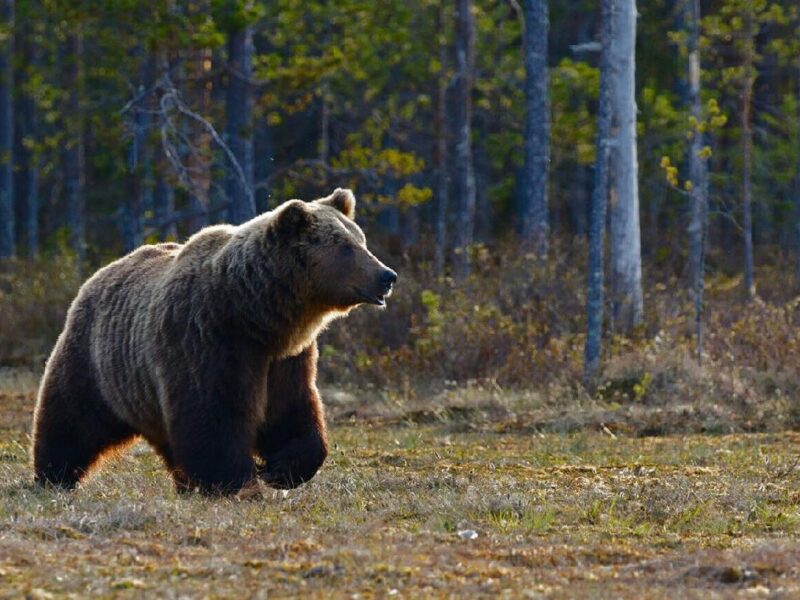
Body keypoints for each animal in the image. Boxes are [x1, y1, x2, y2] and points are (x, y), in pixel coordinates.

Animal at [32, 190, 396, 494]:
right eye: (344, 246)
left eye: (361, 239)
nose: (387, 276)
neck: (255, 314)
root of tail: (98, 274)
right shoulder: (208, 339)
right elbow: (213, 414)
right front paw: (236, 481)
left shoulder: (285, 359)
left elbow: (291, 412)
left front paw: (279, 469)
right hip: (96, 362)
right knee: (71, 419)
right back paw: (53, 476)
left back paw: (184, 483)